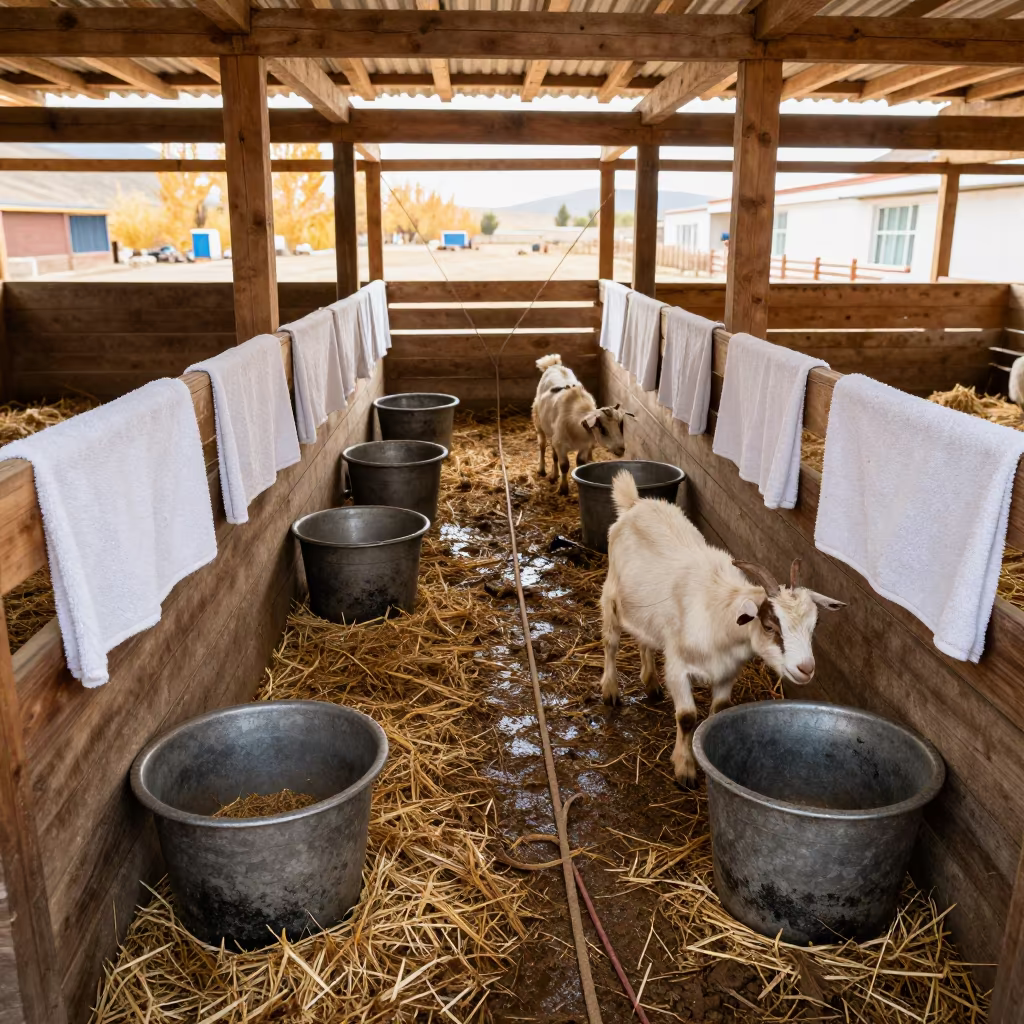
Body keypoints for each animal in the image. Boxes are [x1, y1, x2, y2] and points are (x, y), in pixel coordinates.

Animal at [532, 354, 631, 496]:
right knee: (542, 445)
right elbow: (564, 465)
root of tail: (553, 364)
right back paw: (542, 469)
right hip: (538, 420)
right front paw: (563, 489)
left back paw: (554, 475)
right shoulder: (561, 445)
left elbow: (580, 463)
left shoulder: (584, 445)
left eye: (620, 426)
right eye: (603, 429)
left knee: (553, 453)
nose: (621, 449)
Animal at [599, 471, 845, 787]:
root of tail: (634, 503)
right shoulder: (678, 668)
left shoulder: (728, 672)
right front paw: (685, 770)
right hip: (611, 597)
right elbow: (687, 717)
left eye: (814, 626)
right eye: (769, 625)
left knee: (646, 638)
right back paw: (610, 690)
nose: (806, 668)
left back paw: (652, 683)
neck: (719, 616)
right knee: (611, 642)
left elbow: (717, 711)